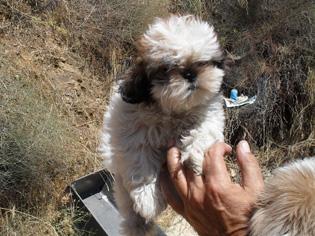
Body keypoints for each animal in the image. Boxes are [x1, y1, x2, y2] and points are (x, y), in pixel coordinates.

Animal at [100, 15, 226, 236]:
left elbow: (203, 131)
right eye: (167, 69)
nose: (190, 74)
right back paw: (139, 223)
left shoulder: (210, 115)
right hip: (122, 185)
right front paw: (148, 199)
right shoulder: (132, 132)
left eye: (203, 62)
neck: (173, 111)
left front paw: (194, 157)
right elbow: (141, 161)